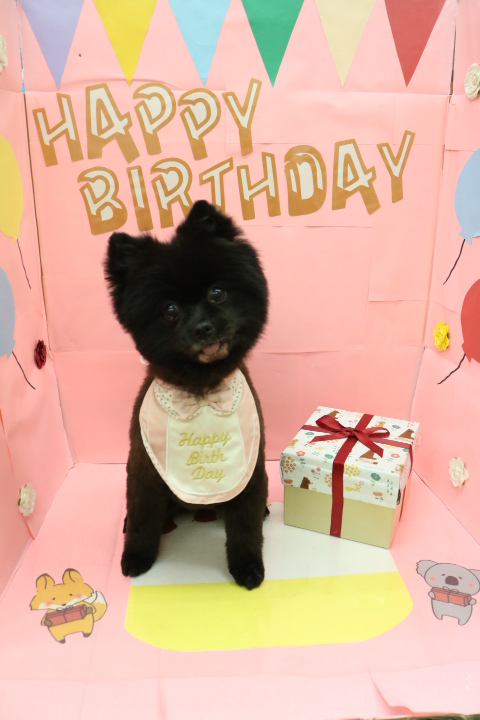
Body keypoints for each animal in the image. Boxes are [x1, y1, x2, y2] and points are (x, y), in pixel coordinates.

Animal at [105, 200, 269, 589]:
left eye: (217, 293)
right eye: (170, 310)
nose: (202, 327)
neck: (200, 393)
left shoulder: (252, 468)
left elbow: (246, 525)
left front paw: (247, 565)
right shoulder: (143, 470)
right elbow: (142, 516)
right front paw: (136, 556)